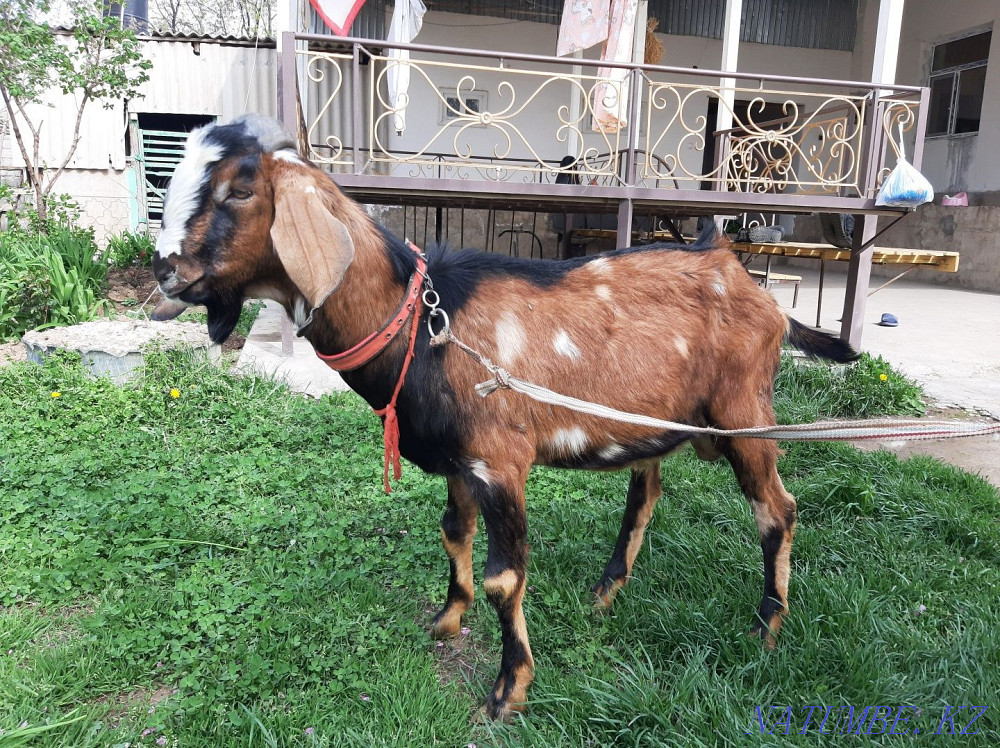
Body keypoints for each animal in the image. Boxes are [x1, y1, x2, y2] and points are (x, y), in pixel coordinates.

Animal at [152, 114, 858, 721]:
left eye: (241, 188)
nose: (162, 269)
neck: (424, 325)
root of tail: (742, 278)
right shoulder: (461, 463)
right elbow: (451, 533)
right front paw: (446, 619)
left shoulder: (500, 461)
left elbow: (504, 577)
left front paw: (508, 689)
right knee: (647, 491)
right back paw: (606, 594)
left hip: (745, 414)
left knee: (777, 509)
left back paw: (766, 628)